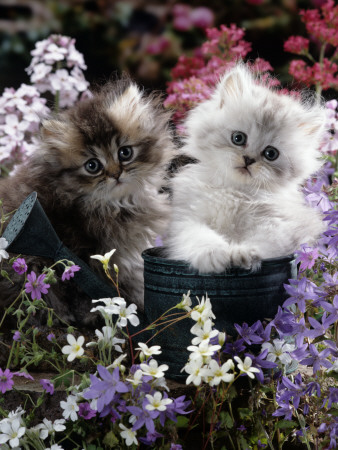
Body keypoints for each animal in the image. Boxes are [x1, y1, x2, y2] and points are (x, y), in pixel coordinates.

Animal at [165, 65, 326, 272]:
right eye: (238, 138)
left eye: (270, 154)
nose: (248, 159)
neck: (234, 190)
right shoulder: (186, 220)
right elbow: (200, 237)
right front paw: (215, 255)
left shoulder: (280, 226)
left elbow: (262, 242)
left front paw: (242, 253)